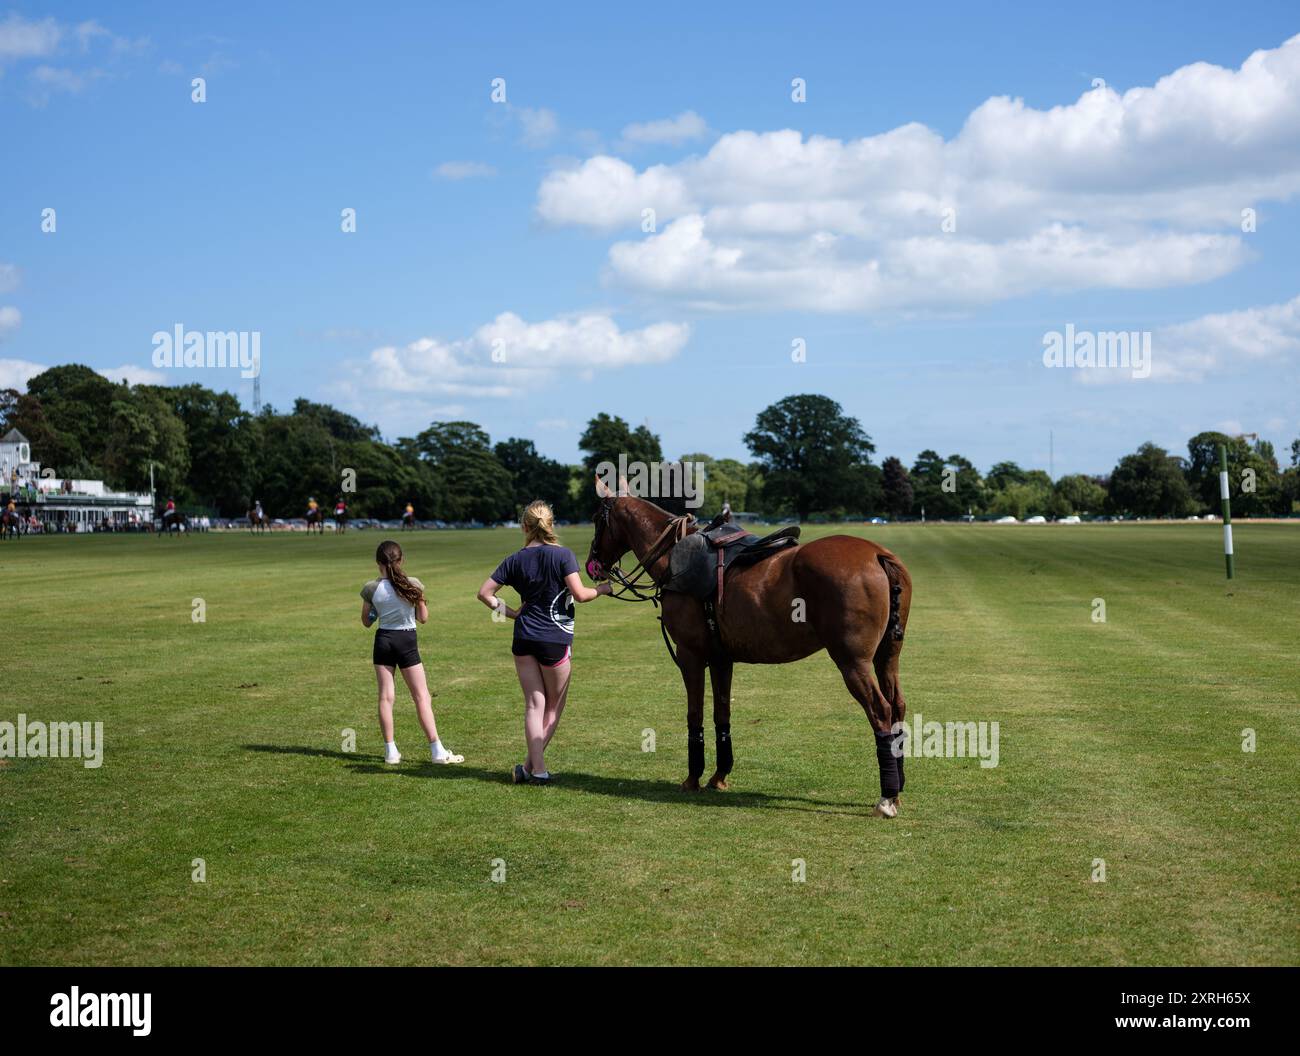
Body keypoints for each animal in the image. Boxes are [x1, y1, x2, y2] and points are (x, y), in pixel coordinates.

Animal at [590, 491, 915, 821]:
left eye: (596, 520)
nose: (593, 565)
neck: (671, 558)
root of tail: (878, 555)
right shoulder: (721, 658)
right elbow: (722, 714)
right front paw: (719, 776)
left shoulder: (690, 654)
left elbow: (695, 715)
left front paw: (693, 778)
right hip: (887, 655)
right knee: (897, 704)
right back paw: (898, 788)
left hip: (852, 660)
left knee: (880, 710)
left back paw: (886, 798)